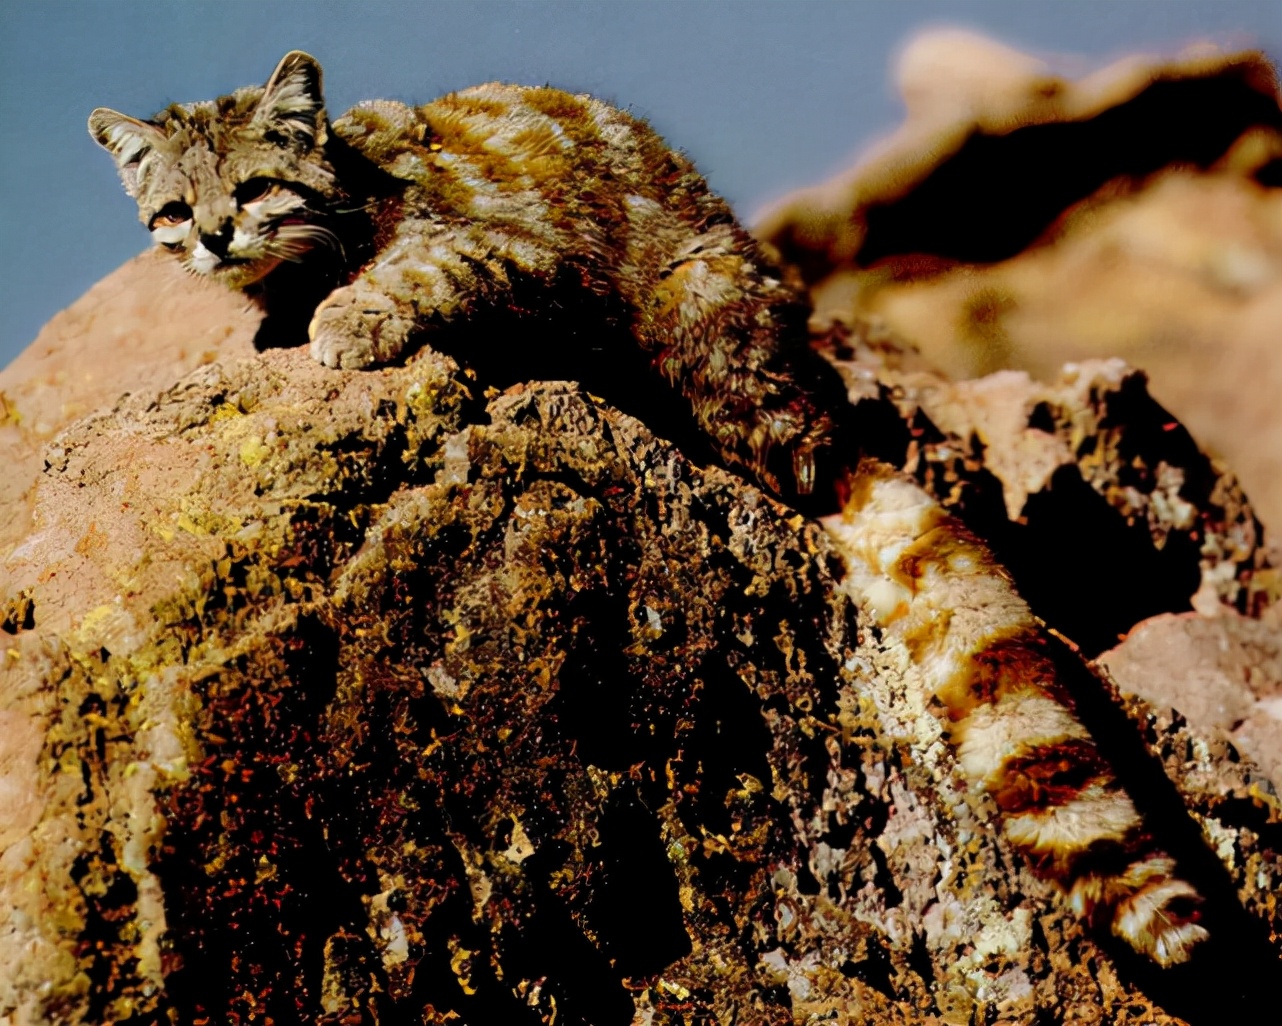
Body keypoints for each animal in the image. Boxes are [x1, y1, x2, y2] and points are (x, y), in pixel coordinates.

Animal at [90, 50, 1210, 964]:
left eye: (253, 187)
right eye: (177, 209)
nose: (218, 238)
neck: (347, 191)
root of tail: (820, 425)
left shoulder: (515, 252)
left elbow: (420, 268)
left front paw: (345, 318)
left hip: (698, 322)